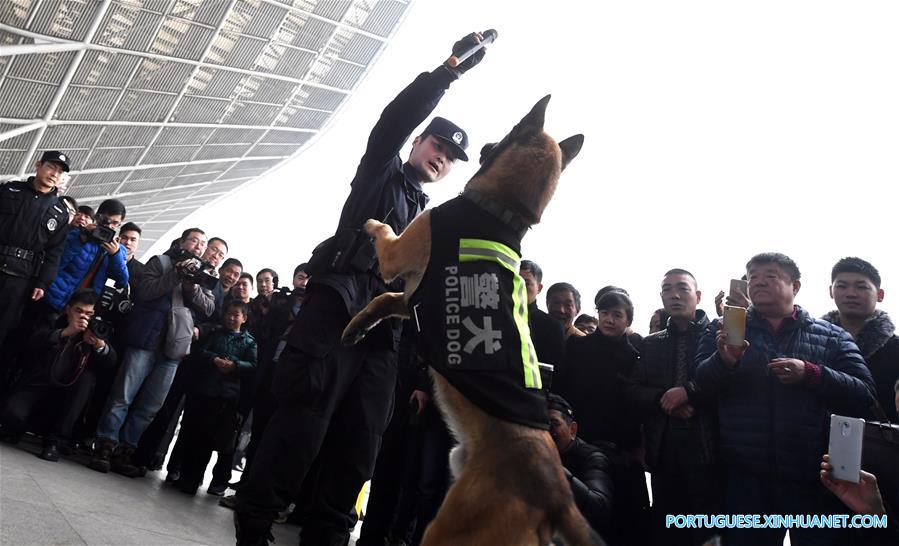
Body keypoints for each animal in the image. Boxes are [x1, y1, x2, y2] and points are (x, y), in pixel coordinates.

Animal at [342, 98, 596, 544]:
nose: (484, 144)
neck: (503, 212)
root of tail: (557, 498)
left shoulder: (396, 257)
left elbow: (386, 231)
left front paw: (372, 223)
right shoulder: (410, 299)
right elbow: (385, 299)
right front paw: (358, 325)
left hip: (446, 528)